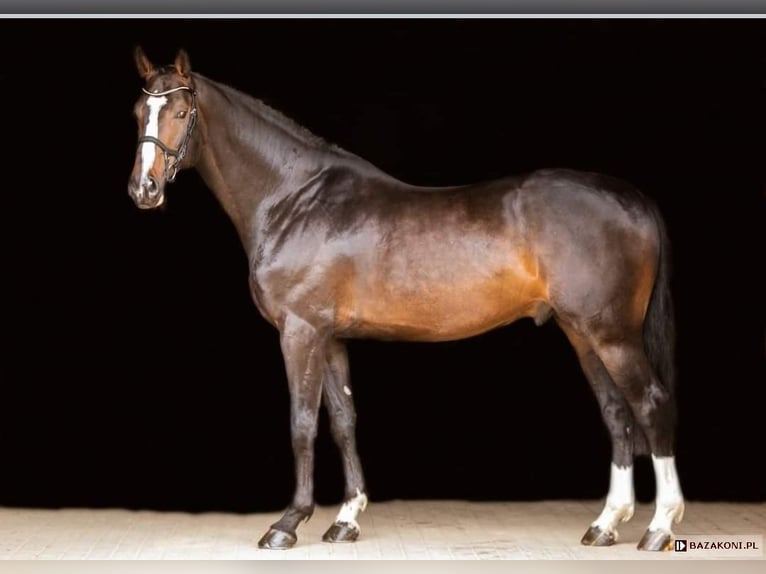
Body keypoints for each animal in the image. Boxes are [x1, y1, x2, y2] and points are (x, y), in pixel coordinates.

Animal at [127, 47, 685, 552]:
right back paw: (606, 524)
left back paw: (659, 527)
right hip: (583, 333)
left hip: (611, 334)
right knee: (617, 413)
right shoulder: (330, 338)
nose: (144, 189)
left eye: (181, 113)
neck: (294, 198)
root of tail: (632, 198)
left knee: (651, 405)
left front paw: (288, 523)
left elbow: (302, 423)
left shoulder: (300, 332)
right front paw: (346, 520)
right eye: (138, 113)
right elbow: (343, 421)